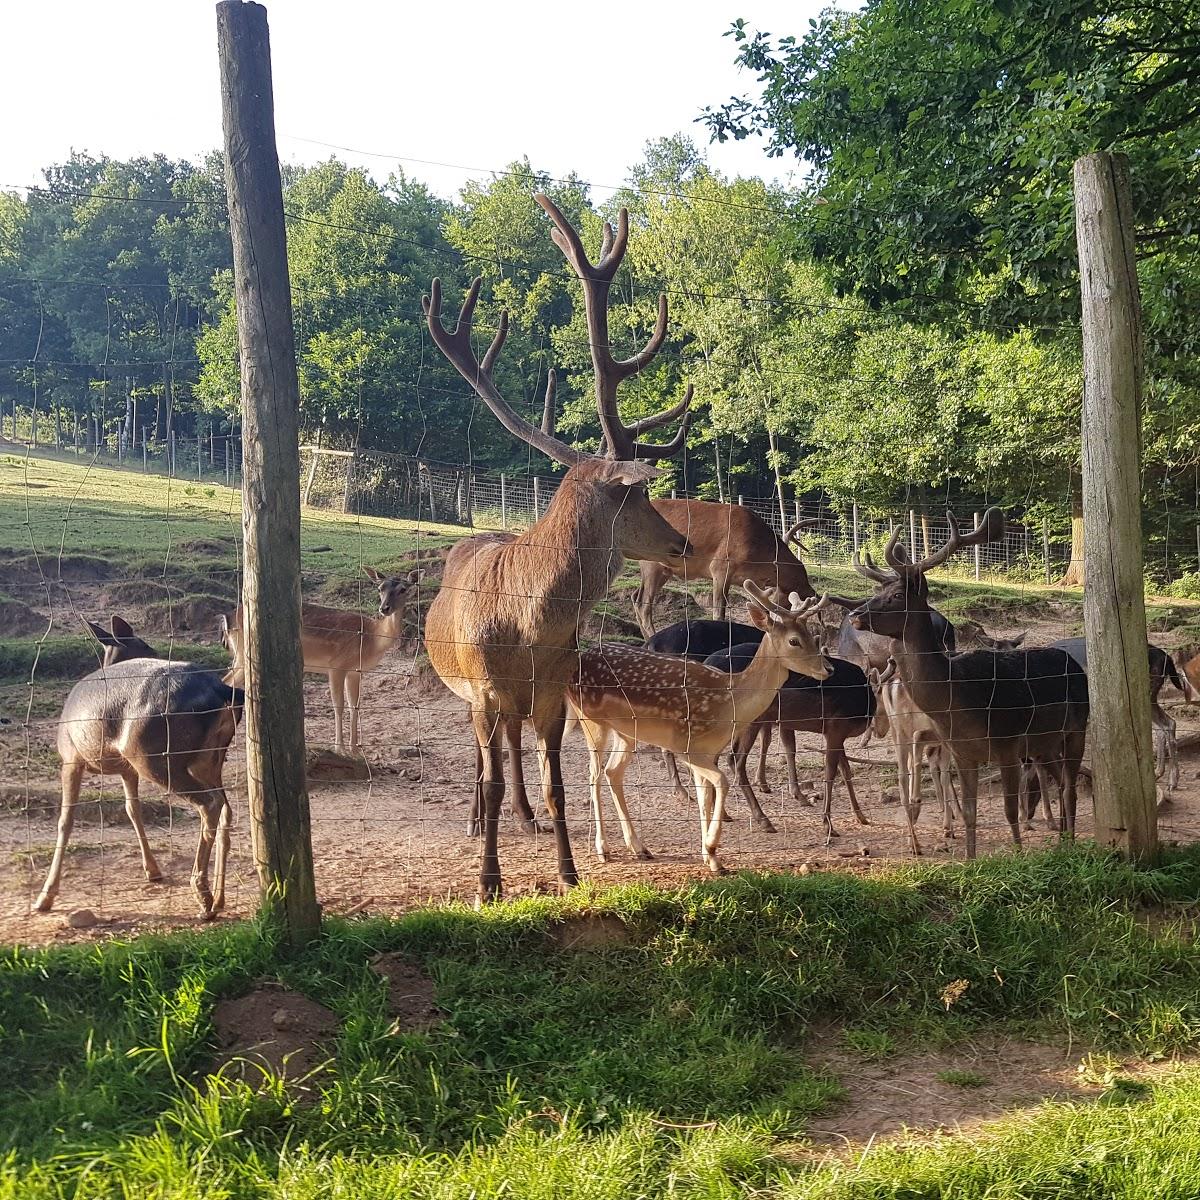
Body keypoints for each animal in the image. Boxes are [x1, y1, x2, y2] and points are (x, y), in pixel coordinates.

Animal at [34, 619, 243, 916]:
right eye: (146, 645)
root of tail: (224, 691)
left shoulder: (71, 757)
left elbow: (65, 820)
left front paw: (45, 896)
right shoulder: (126, 769)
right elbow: (133, 810)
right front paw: (153, 870)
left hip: (154, 756)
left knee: (210, 803)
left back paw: (202, 893)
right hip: (208, 759)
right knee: (225, 808)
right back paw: (219, 898)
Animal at [422, 189, 691, 902]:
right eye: (636, 493)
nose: (681, 542)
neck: (529, 628)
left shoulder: (552, 695)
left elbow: (559, 782)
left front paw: (569, 871)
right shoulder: (486, 690)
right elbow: (491, 773)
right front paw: (488, 883)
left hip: (516, 705)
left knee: (514, 758)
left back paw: (523, 817)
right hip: (467, 693)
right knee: (483, 757)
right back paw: (477, 821)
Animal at [628, 506, 816, 638]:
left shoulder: (751, 582)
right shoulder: (720, 568)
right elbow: (719, 612)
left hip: (662, 570)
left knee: (636, 596)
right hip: (652, 564)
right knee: (643, 604)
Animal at [849, 511, 1094, 859]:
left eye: (896, 596)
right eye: (877, 591)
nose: (856, 614)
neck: (958, 699)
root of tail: (1072, 663)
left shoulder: (1007, 745)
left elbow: (1008, 810)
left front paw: (1018, 855)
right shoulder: (962, 752)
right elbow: (969, 811)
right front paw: (969, 859)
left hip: (1076, 728)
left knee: (1070, 784)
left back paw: (1070, 842)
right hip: (1043, 744)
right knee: (1060, 781)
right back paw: (1062, 839)